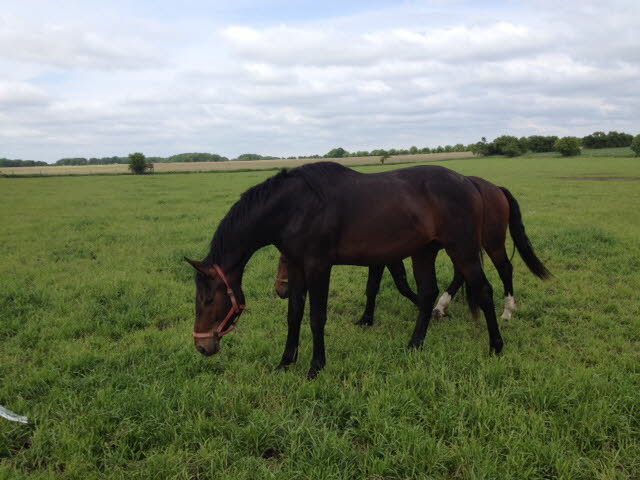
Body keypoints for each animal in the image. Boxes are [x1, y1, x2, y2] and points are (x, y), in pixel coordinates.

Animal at [186, 161, 510, 378]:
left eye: (209, 299)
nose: (201, 346)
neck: (295, 206)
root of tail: (470, 183)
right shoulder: (298, 268)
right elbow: (294, 316)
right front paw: (285, 362)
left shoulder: (318, 268)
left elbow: (316, 318)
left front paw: (316, 367)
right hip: (424, 252)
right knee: (429, 292)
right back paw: (415, 344)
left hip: (463, 249)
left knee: (484, 290)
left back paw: (496, 346)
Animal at [276, 176, 552, 326]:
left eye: (286, 261)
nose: (280, 290)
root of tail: (495, 188)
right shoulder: (385, 257)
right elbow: (378, 286)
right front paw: (367, 318)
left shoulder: (386, 257)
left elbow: (394, 285)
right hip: (462, 247)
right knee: (461, 274)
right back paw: (442, 306)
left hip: (491, 242)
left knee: (505, 268)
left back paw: (507, 311)